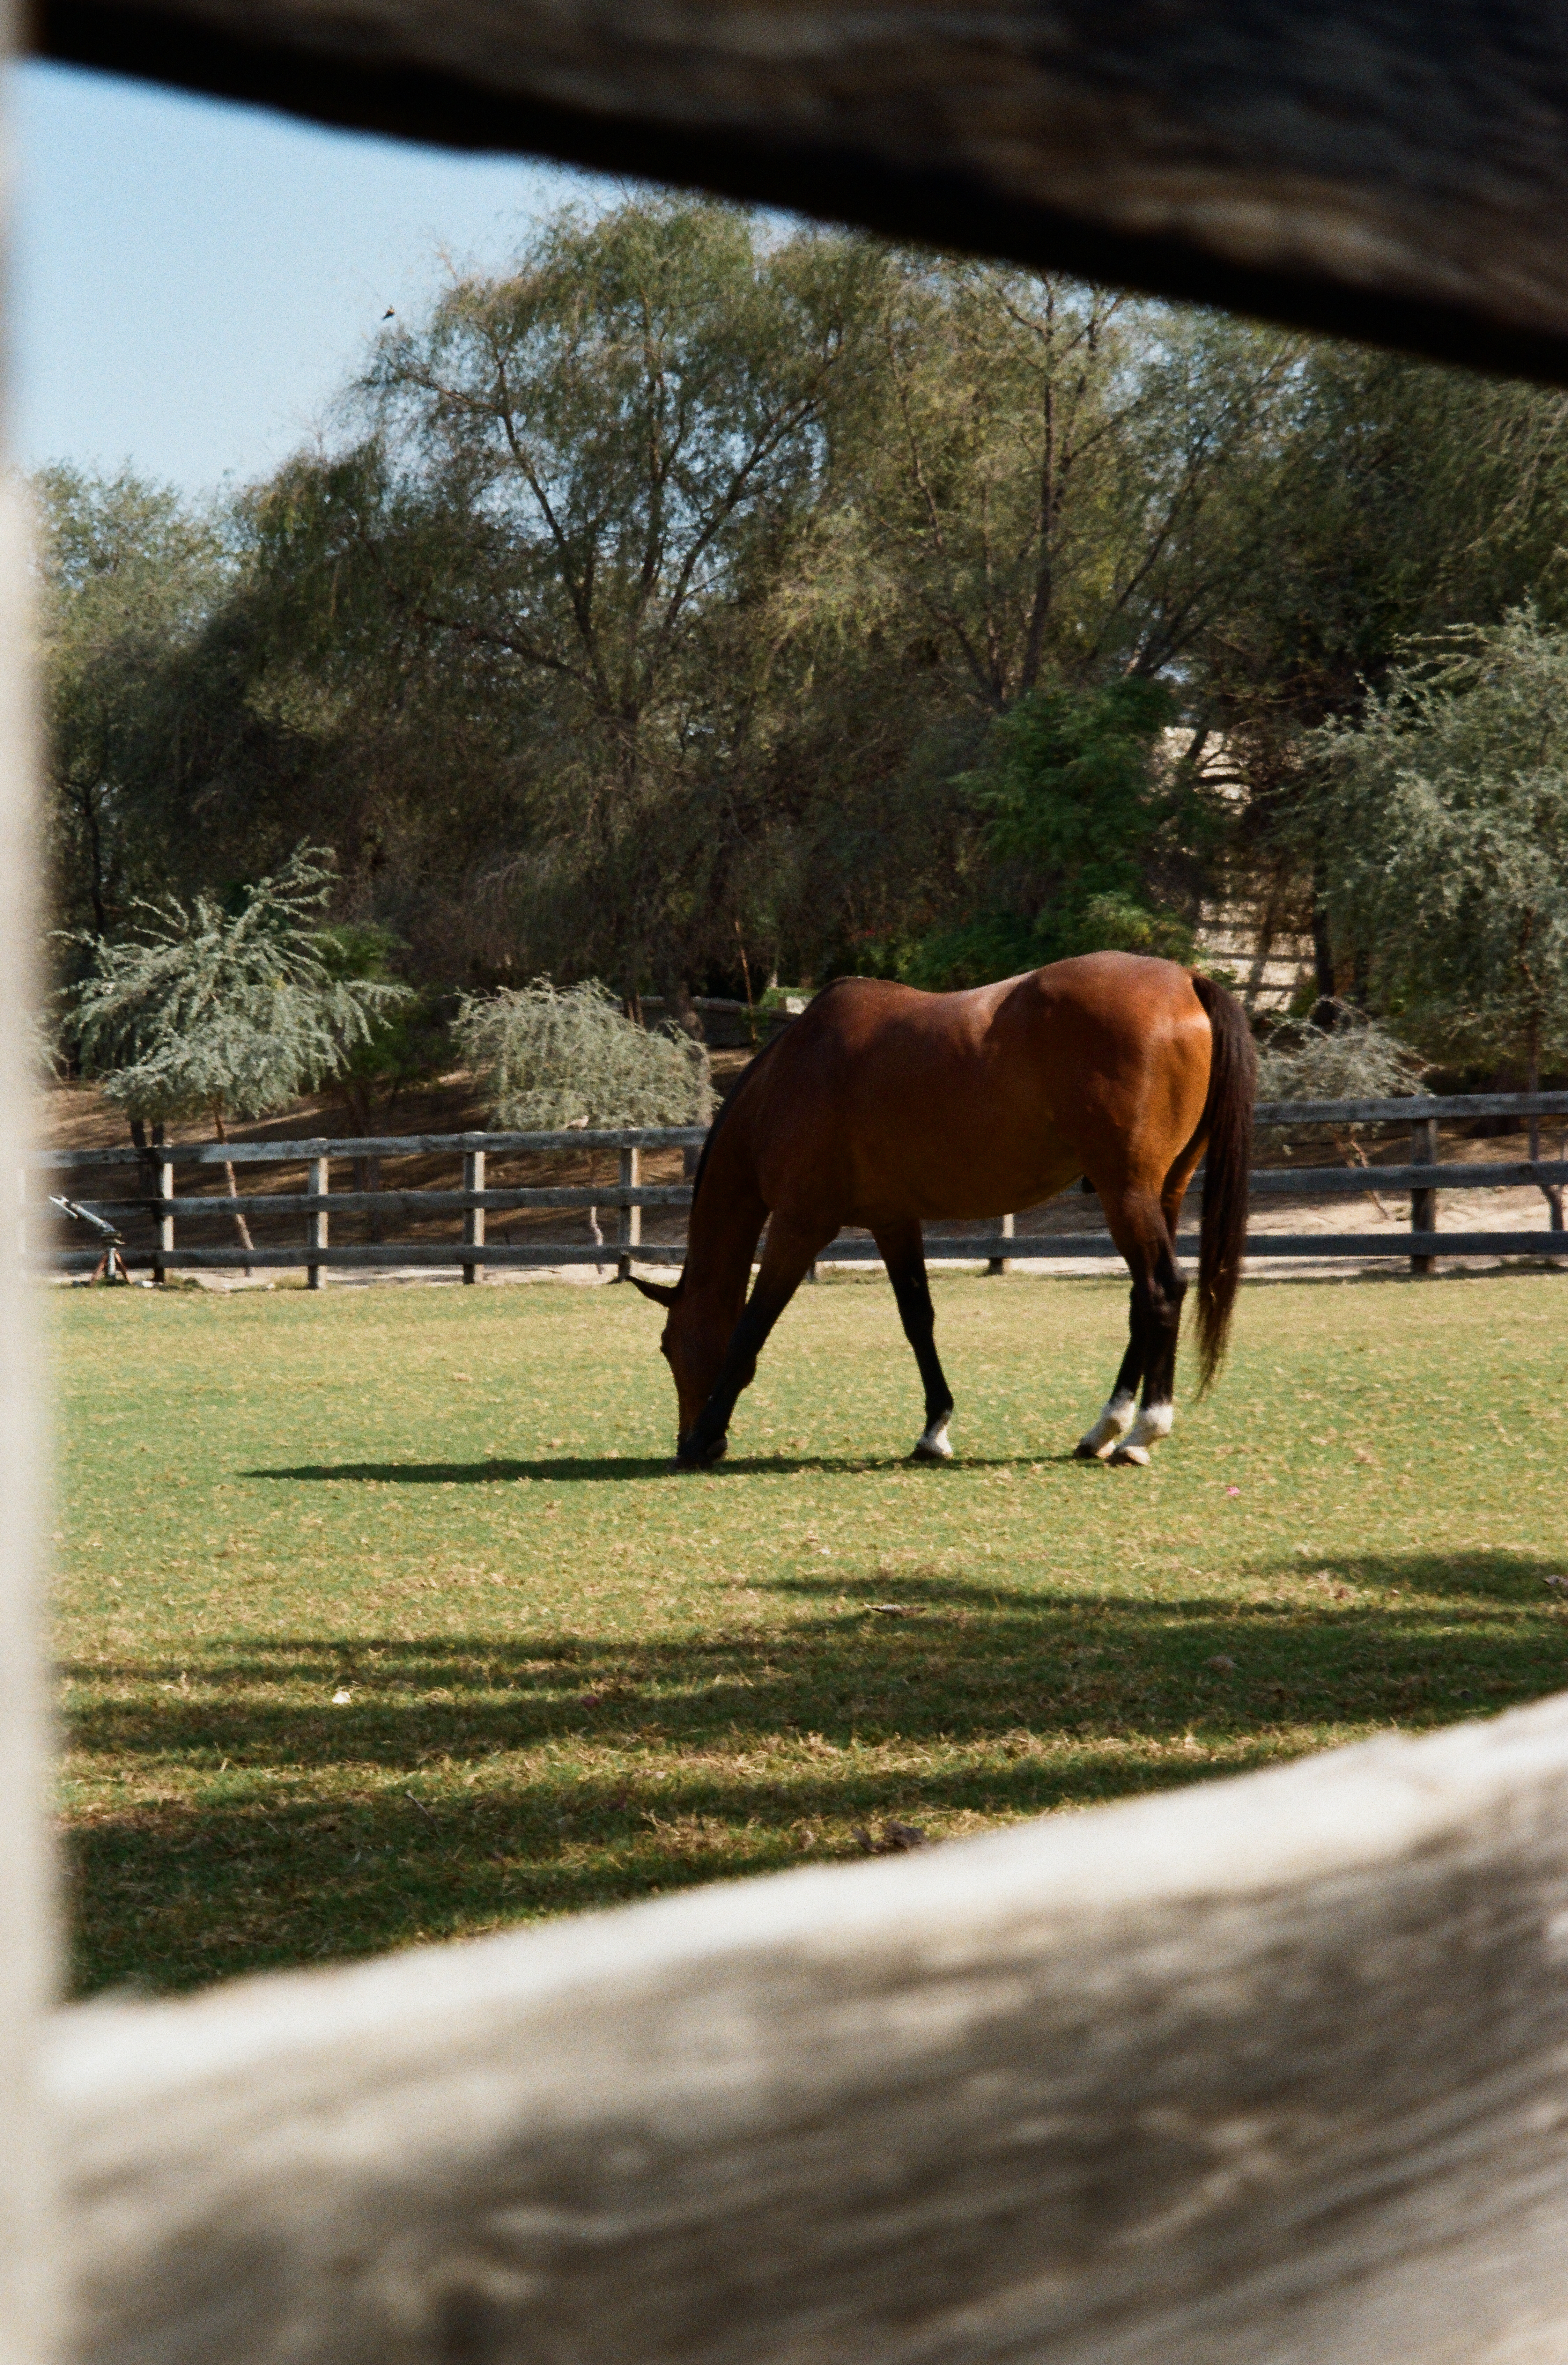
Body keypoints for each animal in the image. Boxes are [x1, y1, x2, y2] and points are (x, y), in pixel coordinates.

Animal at [632, 952, 1255, 1469]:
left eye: (667, 1345)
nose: (686, 1438)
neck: (788, 1078)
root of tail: (1186, 980)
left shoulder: (799, 1226)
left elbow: (753, 1326)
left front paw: (705, 1434)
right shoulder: (893, 1222)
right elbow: (918, 1320)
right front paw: (934, 1430)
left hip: (1125, 1192)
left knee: (1161, 1290)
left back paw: (1143, 1432)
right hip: (1161, 1192)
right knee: (1141, 1303)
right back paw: (1104, 1428)